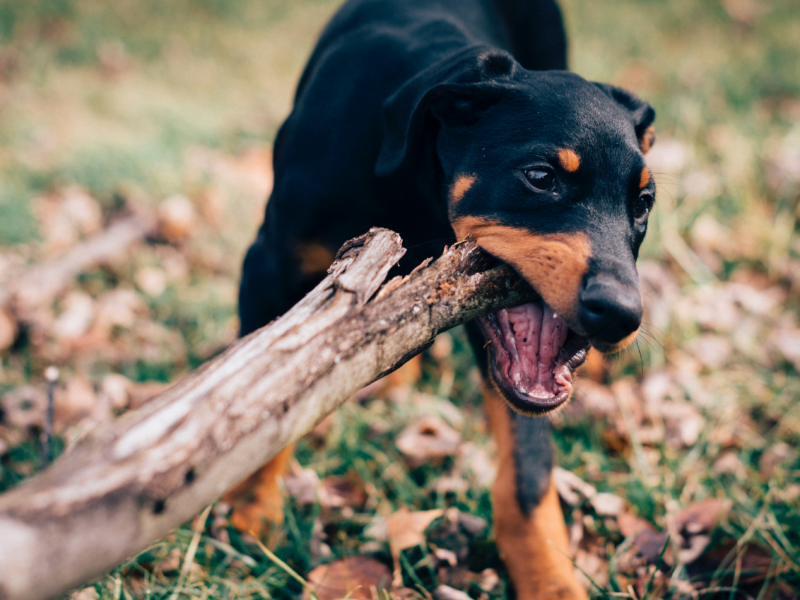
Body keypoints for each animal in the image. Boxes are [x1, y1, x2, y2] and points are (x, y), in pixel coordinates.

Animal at [230, 2, 656, 596]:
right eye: (540, 176)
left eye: (644, 202)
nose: (620, 314)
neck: (411, 184)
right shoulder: (266, 268)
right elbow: (263, 403)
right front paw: (251, 512)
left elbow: (527, 473)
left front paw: (551, 580)